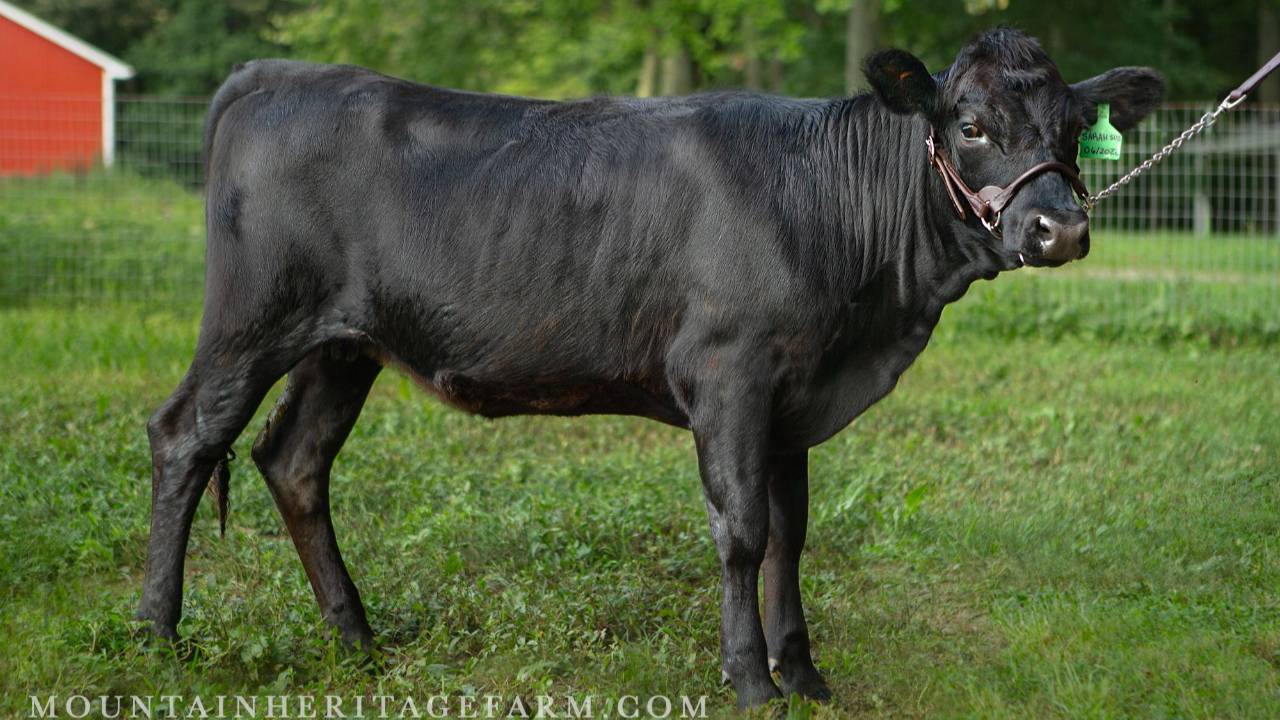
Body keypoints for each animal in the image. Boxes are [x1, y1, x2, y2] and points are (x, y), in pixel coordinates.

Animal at [136, 28, 1162, 710]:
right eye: (972, 124)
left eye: (1073, 124)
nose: (1060, 228)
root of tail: (280, 76)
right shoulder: (731, 374)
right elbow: (743, 531)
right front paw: (751, 680)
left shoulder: (795, 394)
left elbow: (793, 534)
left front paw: (806, 672)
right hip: (252, 319)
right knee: (186, 436)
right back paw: (156, 634)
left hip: (345, 344)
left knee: (295, 461)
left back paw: (357, 639)